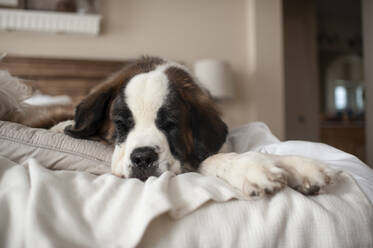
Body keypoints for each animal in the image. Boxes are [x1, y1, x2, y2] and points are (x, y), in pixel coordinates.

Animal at [56, 56, 338, 198]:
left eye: (169, 125)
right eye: (121, 125)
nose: (143, 158)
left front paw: (299, 166)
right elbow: (218, 160)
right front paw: (253, 168)